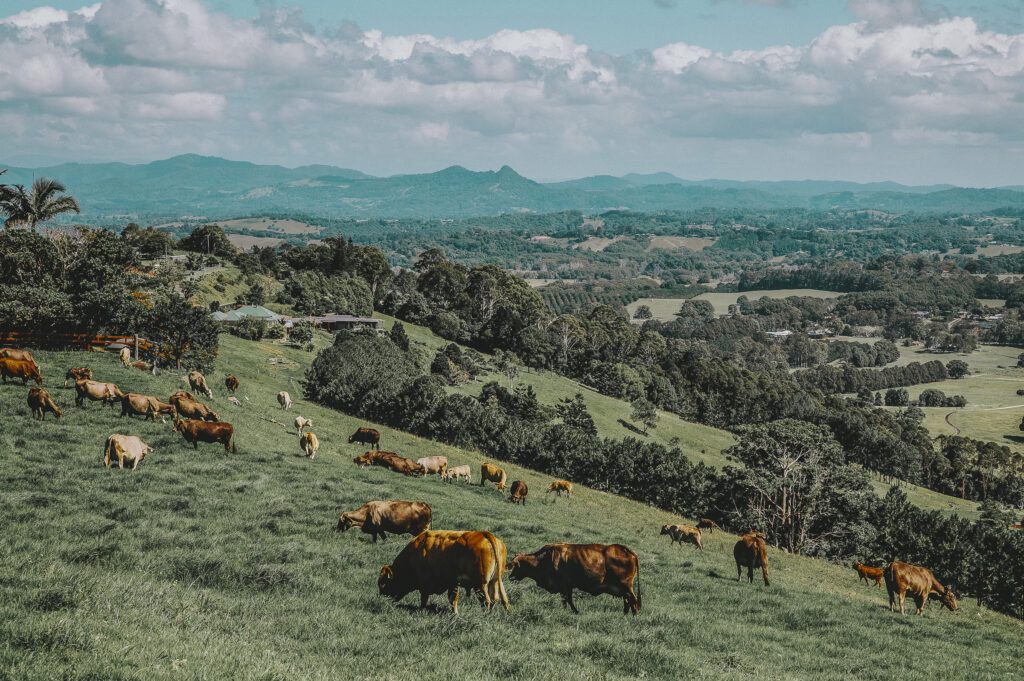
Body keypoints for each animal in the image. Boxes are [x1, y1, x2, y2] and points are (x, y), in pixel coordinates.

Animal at [378, 528, 509, 614]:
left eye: (384, 583)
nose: (382, 598)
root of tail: (485, 534)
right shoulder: (453, 583)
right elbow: (453, 599)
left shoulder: (426, 584)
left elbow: (425, 599)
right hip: (493, 581)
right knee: (494, 599)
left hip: (480, 584)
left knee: (486, 601)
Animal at [509, 544, 643, 614]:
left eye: (516, 566)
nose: (510, 577)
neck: (546, 558)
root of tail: (625, 549)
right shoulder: (565, 587)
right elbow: (565, 600)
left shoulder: (564, 585)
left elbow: (567, 599)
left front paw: (574, 611)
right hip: (624, 589)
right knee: (627, 601)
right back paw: (625, 614)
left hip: (626, 586)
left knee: (634, 601)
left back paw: (633, 615)